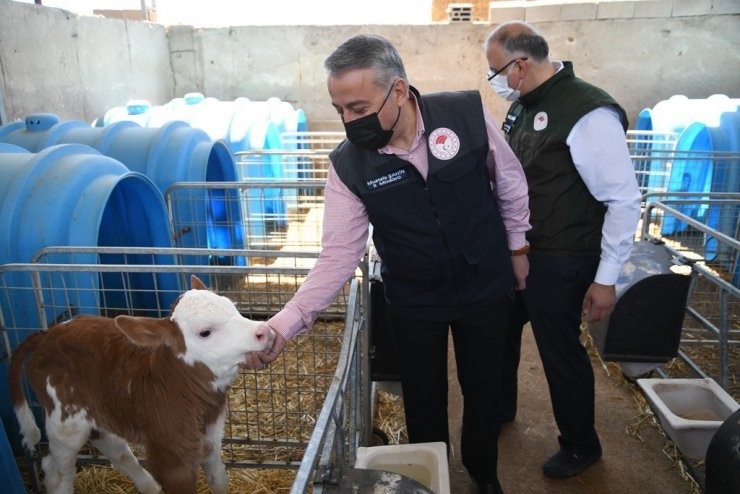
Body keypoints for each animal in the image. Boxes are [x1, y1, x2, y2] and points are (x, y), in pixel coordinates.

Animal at [7, 276, 274, 494]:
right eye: (205, 332)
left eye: (233, 308)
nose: (264, 330)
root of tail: (45, 335)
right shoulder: (170, 457)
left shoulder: (210, 438)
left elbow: (219, 480)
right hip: (65, 423)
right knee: (57, 471)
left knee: (113, 448)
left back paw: (150, 487)